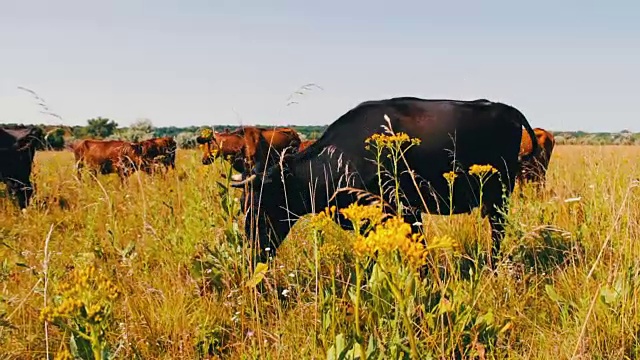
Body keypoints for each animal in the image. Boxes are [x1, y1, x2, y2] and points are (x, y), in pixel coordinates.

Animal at [232, 97, 536, 266]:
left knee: (497, 232)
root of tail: (508, 109)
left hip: (499, 196)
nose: (253, 252)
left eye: (257, 205)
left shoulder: (404, 210)